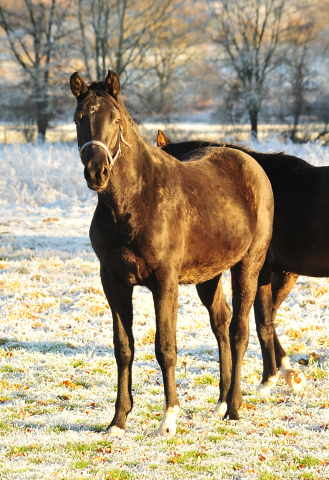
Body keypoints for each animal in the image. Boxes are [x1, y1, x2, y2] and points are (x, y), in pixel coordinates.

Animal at [69, 70, 272, 436]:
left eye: (115, 119)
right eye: (79, 119)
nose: (96, 172)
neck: (133, 203)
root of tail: (251, 163)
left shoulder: (164, 283)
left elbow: (165, 347)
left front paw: (168, 419)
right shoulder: (114, 282)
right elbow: (123, 348)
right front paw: (118, 420)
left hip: (248, 265)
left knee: (239, 330)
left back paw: (234, 408)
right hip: (209, 275)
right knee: (221, 322)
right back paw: (221, 404)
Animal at [157, 129, 328, 396]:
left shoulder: (265, 271)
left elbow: (262, 320)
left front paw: (271, 377)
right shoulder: (283, 272)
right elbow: (267, 318)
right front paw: (287, 372)